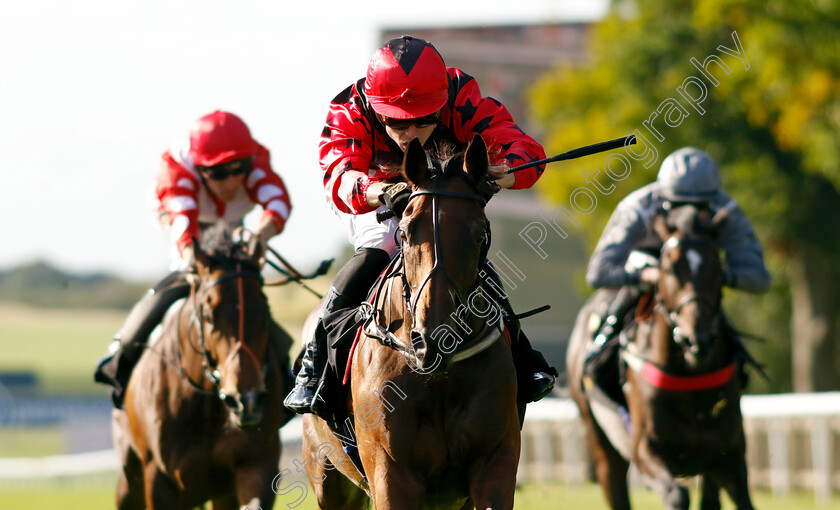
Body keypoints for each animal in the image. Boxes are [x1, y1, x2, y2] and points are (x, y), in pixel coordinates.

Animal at [113, 235, 292, 510]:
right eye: (209, 315)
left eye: (265, 313)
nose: (247, 401)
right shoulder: (159, 478)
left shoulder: (256, 463)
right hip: (129, 478)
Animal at [296, 135, 520, 510]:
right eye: (403, 234)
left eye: (479, 236)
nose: (433, 341)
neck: (439, 379)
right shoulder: (391, 472)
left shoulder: (494, 462)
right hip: (327, 475)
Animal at [564, 204, 756, 510]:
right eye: (669, 268)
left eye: (718, 267)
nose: (697, 340)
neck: (689, 377)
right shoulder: (645, 451)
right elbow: (677, 495)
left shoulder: (729, 455)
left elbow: (742, 498)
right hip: (599, 439)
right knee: (614, 484)